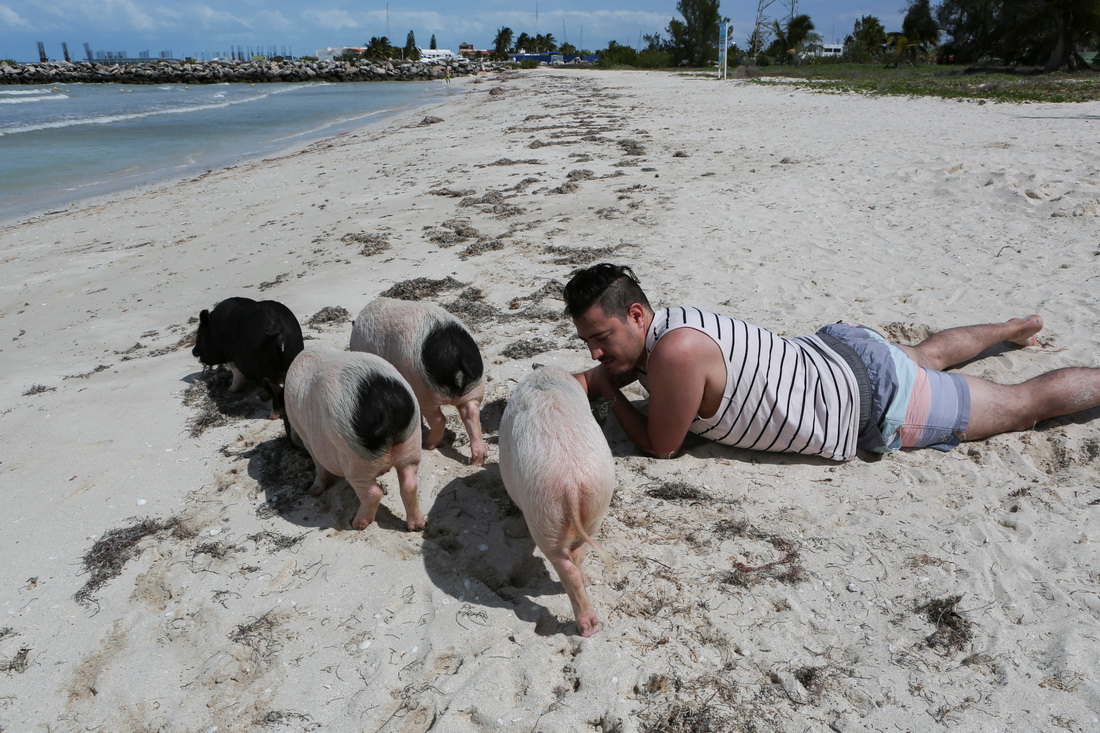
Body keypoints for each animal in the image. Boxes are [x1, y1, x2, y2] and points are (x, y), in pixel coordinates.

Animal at [281, 345, 422, 528]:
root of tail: (385, 404)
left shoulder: (307, 438)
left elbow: (319, 465)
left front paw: (312, 491)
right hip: (411, 444)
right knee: (409, 484)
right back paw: (417, 526)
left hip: (356, 460)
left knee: (373, 492)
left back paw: (355, 524)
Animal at [349, 294, 488, 462]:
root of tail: (457, 353)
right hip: (474, 388)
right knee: (471, 413)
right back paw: (478, 460)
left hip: (425, 391)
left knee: (439, 419)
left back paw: (428, 446)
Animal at [501, 365, 616, 633]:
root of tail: (571, 480)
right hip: (595, 505)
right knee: (579, 554)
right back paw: (589, 589)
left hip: (543, 512)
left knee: (565, 564)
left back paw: (587, 627)